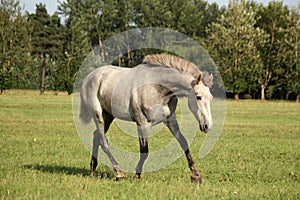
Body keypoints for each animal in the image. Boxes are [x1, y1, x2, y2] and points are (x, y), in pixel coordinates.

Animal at [78, 53, 212, 184]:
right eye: (198, 97)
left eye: (210, 97)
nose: (207, 126)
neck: (157, 87)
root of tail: (88, 78)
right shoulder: (142, 124)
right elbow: (144, 151)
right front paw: (137, 174)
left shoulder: (170, 121)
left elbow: (183, 143)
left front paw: (195, 175)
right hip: (98, 116)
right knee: (103, 142)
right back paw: (119, 173)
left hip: (108, 116)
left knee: (96, 136)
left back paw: (92, 169)